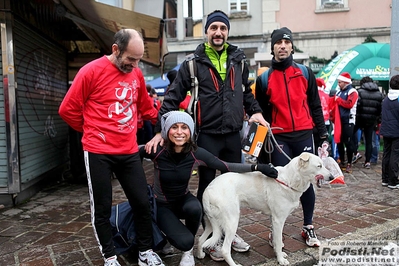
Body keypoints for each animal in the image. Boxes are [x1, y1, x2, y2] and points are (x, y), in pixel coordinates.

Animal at [198, 152, 334, 266]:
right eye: (319, 166)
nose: (332, 177)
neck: (288, 180)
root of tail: (208, 190)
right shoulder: (279, 220)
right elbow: (278, 241)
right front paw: (281, 260)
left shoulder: (273, 218)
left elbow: (275, 240)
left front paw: (278, 254)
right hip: (232, 222)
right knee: (225, 250)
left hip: (211, 223)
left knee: (200, 240)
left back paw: (200, 255)